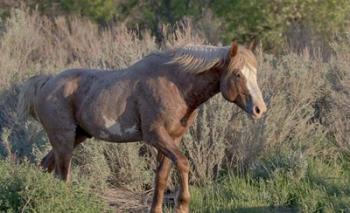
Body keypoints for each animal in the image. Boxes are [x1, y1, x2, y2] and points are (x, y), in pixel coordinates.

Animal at [17, 40, 266, 212]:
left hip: (76, 137)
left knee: (46, 166)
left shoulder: (171, 139)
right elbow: (183, 163)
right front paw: (182, 205)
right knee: (63, 176)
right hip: (64, 140)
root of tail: (46, 82)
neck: (175, 84)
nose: (259, 109)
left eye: (255, 73)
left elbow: (162, 177)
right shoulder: (155, 136)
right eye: (237, 73)